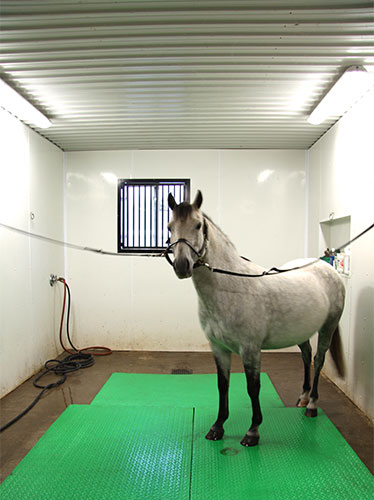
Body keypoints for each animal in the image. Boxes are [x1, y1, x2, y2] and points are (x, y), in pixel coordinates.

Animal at [167, 190, 344, 446]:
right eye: (170, 227)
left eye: (198, 225)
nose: (182, 266)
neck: (230, 287)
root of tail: (327, 267)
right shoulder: (218, 348)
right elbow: (222, 385)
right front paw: (217, 427)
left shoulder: (250, 349)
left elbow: (253, 387)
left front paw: (252, 431)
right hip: (302, 331)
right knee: (306, 357)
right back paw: (302, 397)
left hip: (328, 327)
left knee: (319, 360)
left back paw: (311, 405)